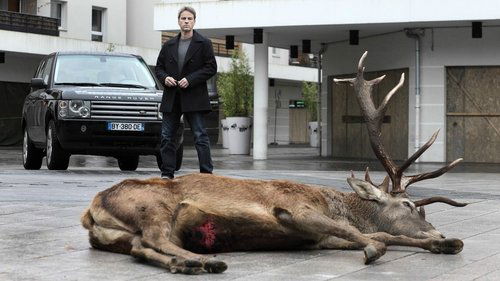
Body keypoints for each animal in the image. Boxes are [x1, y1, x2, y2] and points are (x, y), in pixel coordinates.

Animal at [80, 51, 466, 274]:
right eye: (410, 205)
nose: (439, 230)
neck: (339, 206)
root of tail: (90, 211)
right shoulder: (296, 208)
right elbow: (374, 236)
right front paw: (375, 248)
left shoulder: (320, 237)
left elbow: (381, 232)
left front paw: (446, 243)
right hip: (153, 206)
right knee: (152, 239)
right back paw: (203, 260)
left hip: (126, 233)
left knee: (139, 247)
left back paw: (188, 262)